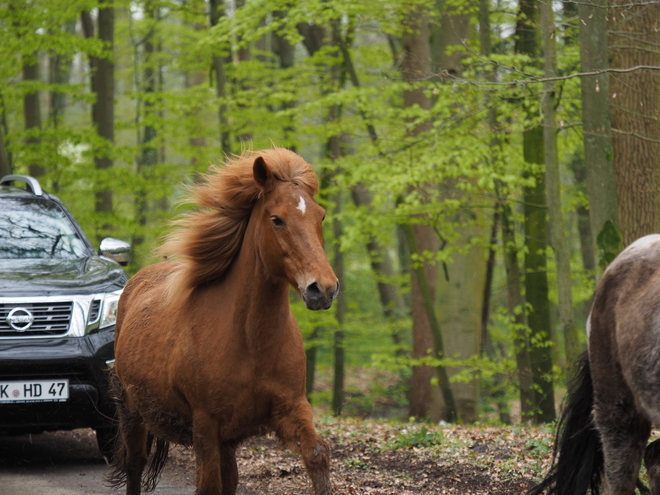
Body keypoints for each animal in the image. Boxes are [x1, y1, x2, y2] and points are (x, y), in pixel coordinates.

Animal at [107, 149, 338, 494]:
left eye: (320, 216)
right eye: (277, 219)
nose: (322, 289)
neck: (250, 343)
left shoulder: (291, 409)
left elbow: (317, 454)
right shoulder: (205, 426)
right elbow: (208, 485)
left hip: (227, 440)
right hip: (133, 413)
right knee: (135, 465)